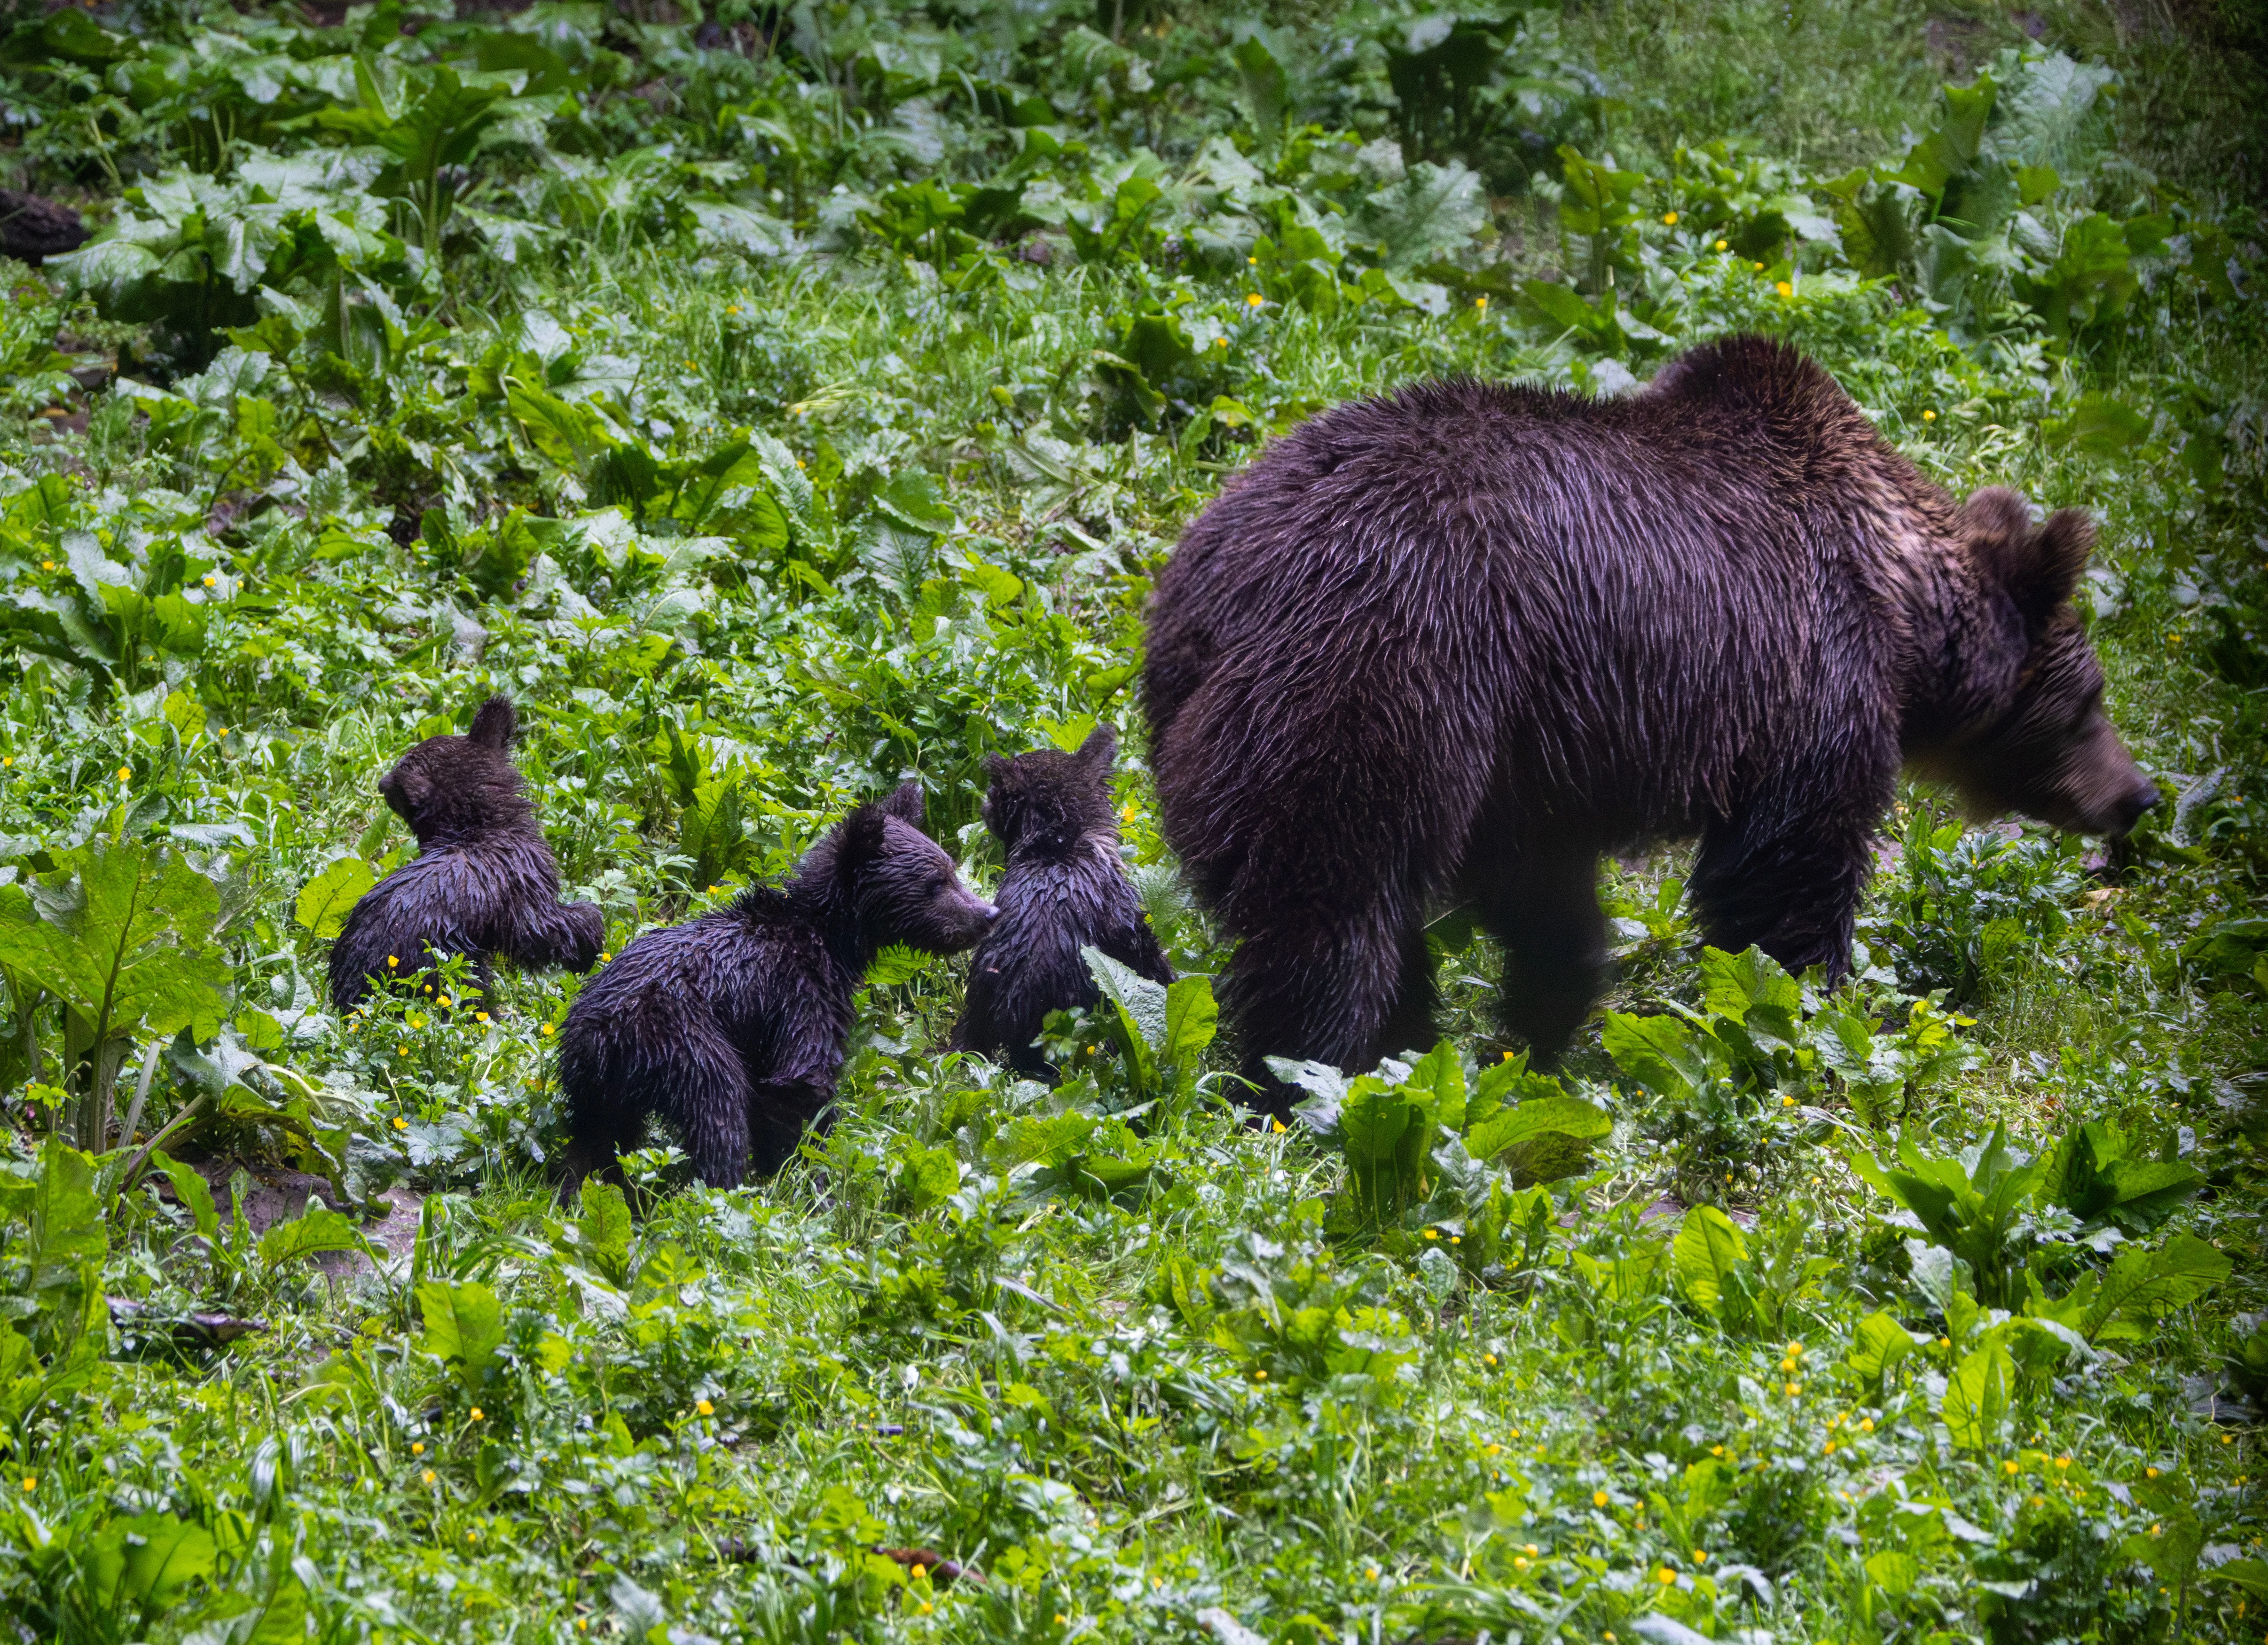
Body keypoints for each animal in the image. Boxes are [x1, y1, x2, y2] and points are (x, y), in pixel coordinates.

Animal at [328, 696, 604, 1013]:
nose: (381, 782)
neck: (482, 829)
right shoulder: (527, 896)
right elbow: (544, 933)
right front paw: (591, 937)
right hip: (453, 972)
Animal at [557, 780, 997, 1190]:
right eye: (935, 882)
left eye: (951, 867)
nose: (988, 914)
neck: (831, 940)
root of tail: (603, 1035)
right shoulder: (799, 993)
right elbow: (800, 1084)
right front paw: (810, 1175)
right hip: (685, 1043)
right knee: (718, 1111)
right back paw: (727, 1187)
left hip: (596, 1088)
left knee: (593, 1143)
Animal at [949, 725, 1174, 1076]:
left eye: (995, 793)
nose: (983, 803)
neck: (1060, 842)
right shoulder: (1131, 931)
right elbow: (1159, 969)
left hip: (972, 1023)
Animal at [1143, 334, 2159, 1114]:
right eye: (2091, 700)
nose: (2139, 796)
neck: (1905, 611)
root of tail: (1220, 589)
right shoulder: (1807, 679)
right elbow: (1787, 871)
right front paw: (1805, 1016)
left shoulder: (1531, 748)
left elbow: (1544, 893)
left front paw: (1541, 1029)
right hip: (1384, 668)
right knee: (1332, 901)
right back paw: (1313, 1074)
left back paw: (1401, 1044)